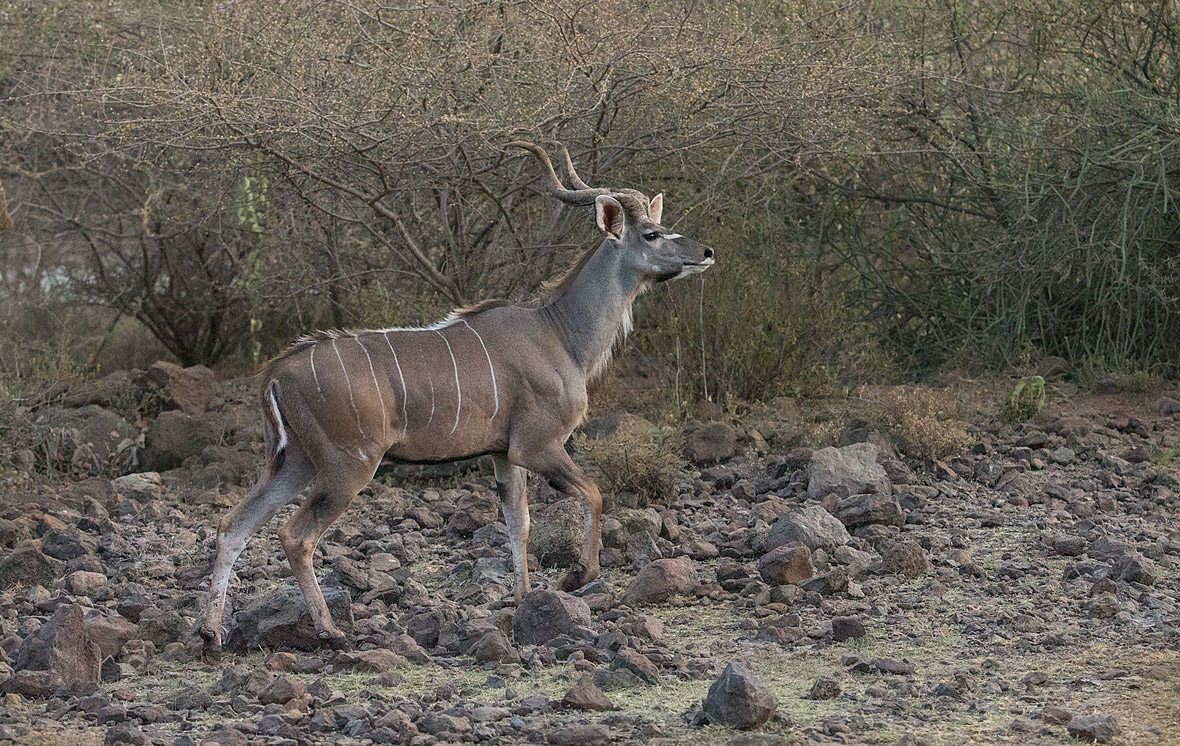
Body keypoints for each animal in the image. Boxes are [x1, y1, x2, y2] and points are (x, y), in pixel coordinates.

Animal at [199, 141, 712, 656]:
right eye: (651, 234)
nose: (706, 251)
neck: (560, 333)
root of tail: (275, 373)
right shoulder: (537, 446)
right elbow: (593, 492)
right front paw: (577, 575)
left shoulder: (503, 454)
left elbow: (519, 522)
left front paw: (523, 600)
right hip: (348, 465)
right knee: (295, 536)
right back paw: (330, 630)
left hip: (294, 462)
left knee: (232, 527)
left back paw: (211, 634)